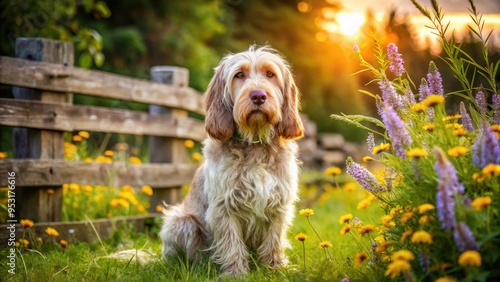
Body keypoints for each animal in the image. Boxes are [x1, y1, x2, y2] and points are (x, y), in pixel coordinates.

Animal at [160, 45, 302, 276]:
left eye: (270, 74)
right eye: (239, 75)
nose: (258, 96)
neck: (254, 143)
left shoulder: (278, 204)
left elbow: (274, 239)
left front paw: (275, 268)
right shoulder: (224, 206)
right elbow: (231, 241)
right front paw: (235, 273)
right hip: (182, 221)